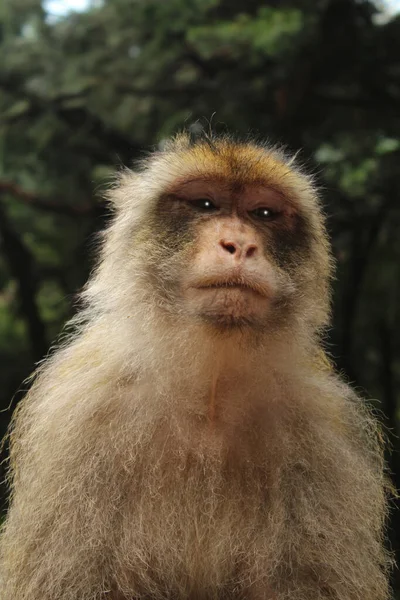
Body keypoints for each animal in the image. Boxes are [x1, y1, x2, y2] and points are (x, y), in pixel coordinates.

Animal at [0, 132, 392, 600]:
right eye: (205, 204)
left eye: (263, 213)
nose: (240, 245)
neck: (211, 390)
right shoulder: (73, 419)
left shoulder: (329, 432)